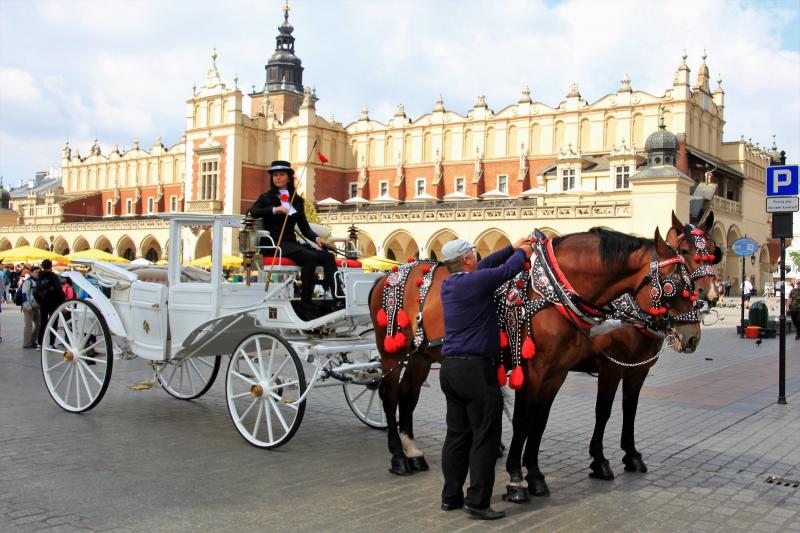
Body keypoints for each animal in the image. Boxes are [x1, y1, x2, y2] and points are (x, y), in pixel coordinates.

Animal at [368, 224, 700, 474]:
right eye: (672, 284)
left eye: (696, 272)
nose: (692, 337)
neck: (553, 292)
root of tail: (388, 274)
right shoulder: (545, 370)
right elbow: (527, 420)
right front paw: (519, 475)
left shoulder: (562, 373)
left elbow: (540, 420)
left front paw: (535, 474)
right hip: (391, 352)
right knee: (389, 394)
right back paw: (398, 457)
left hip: (420, 354)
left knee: (409, 395)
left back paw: (413, 452)